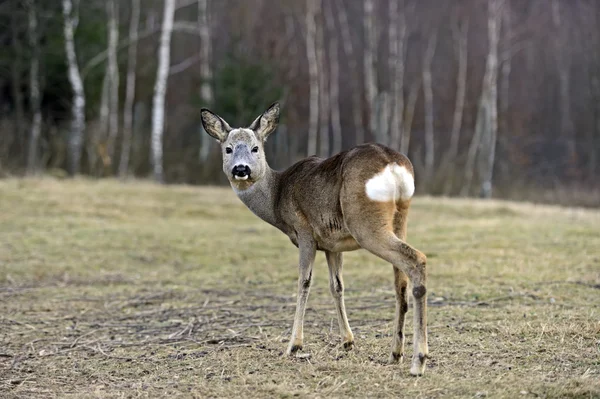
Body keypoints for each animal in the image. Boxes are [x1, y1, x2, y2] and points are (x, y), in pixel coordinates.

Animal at [203, 102, 432, 376]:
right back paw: (396, 354)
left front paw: (294, 345)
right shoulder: (332, 244)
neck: (278, 195)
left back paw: (418, 361)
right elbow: (337, 286)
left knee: (416, 259)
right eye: (228, 148)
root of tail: (393, 165)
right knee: (400, 282)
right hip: (399, 219)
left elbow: (304, 282)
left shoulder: (305, 232)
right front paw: (348, 341)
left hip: (365, 222)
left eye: (255, 148)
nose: (241, 169)